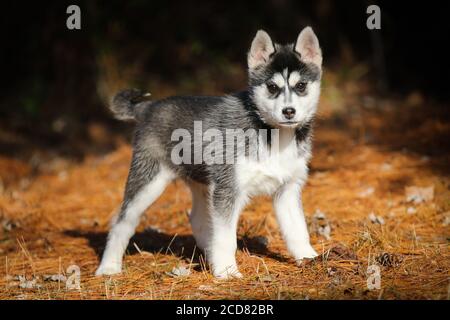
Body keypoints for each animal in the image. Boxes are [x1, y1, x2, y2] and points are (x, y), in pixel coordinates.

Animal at [96, 26, 322, 278]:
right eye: (272, 87)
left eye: (301, 86)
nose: (289, 111)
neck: (274, 135)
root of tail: (149, 107)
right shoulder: (227, 190)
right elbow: (225, 237)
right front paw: (226, 271)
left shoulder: (288, 190)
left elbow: (298, 229)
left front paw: (310, 258)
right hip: (148, 182)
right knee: (121, 222)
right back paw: (109, 267)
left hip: (201, 182)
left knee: (198, 219)